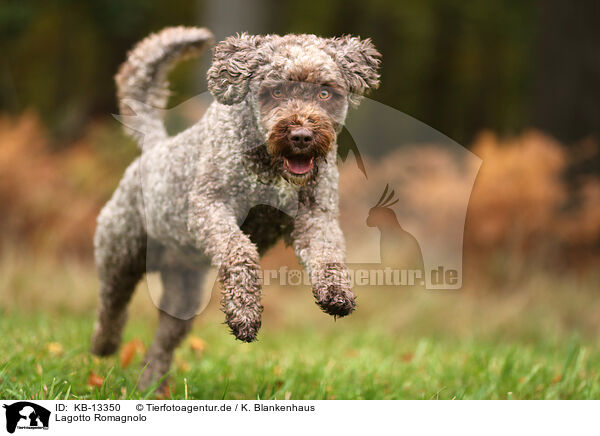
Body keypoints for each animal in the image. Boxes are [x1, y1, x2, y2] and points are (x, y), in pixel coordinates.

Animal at [89, 27, 380, 388]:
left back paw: (151, 384)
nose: (301, 135)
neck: (269, 166)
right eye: (276, 90)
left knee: (165, 339)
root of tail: (155, 146)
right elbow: (239, 251)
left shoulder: (316, 217)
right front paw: (245, 314)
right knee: (111, 304)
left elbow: (328, 255)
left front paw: (336, 293)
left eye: (326, 92)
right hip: (120, 254)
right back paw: (104, 345)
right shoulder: (209, 208)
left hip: (184, 292)